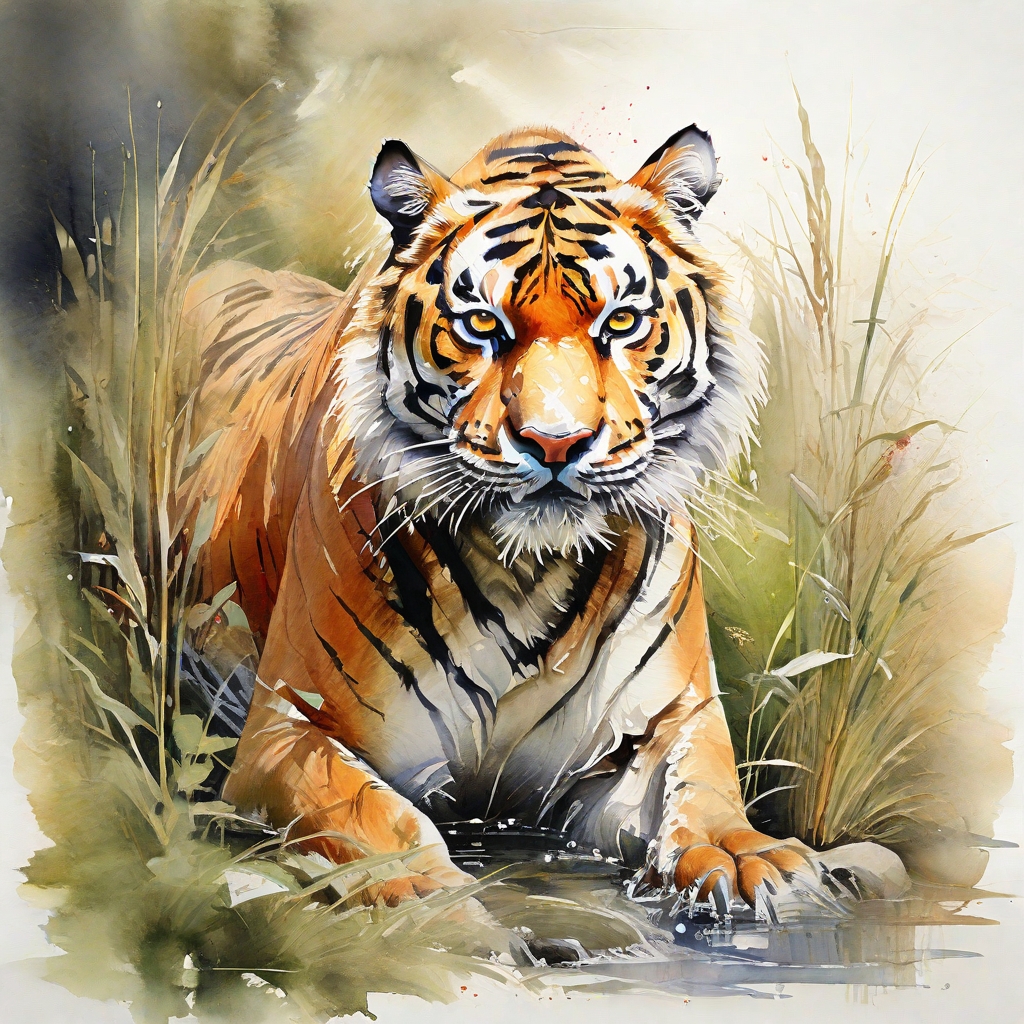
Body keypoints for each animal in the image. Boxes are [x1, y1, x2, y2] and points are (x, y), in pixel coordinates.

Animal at [179, 124, 897, 913]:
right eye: (481, 325)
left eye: (621, 321)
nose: (555, 442)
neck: (528, 574)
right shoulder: (288, 727)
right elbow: (375, 814)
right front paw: (422, 890)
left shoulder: (668, 720)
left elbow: (702, 789)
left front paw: (746, 857)